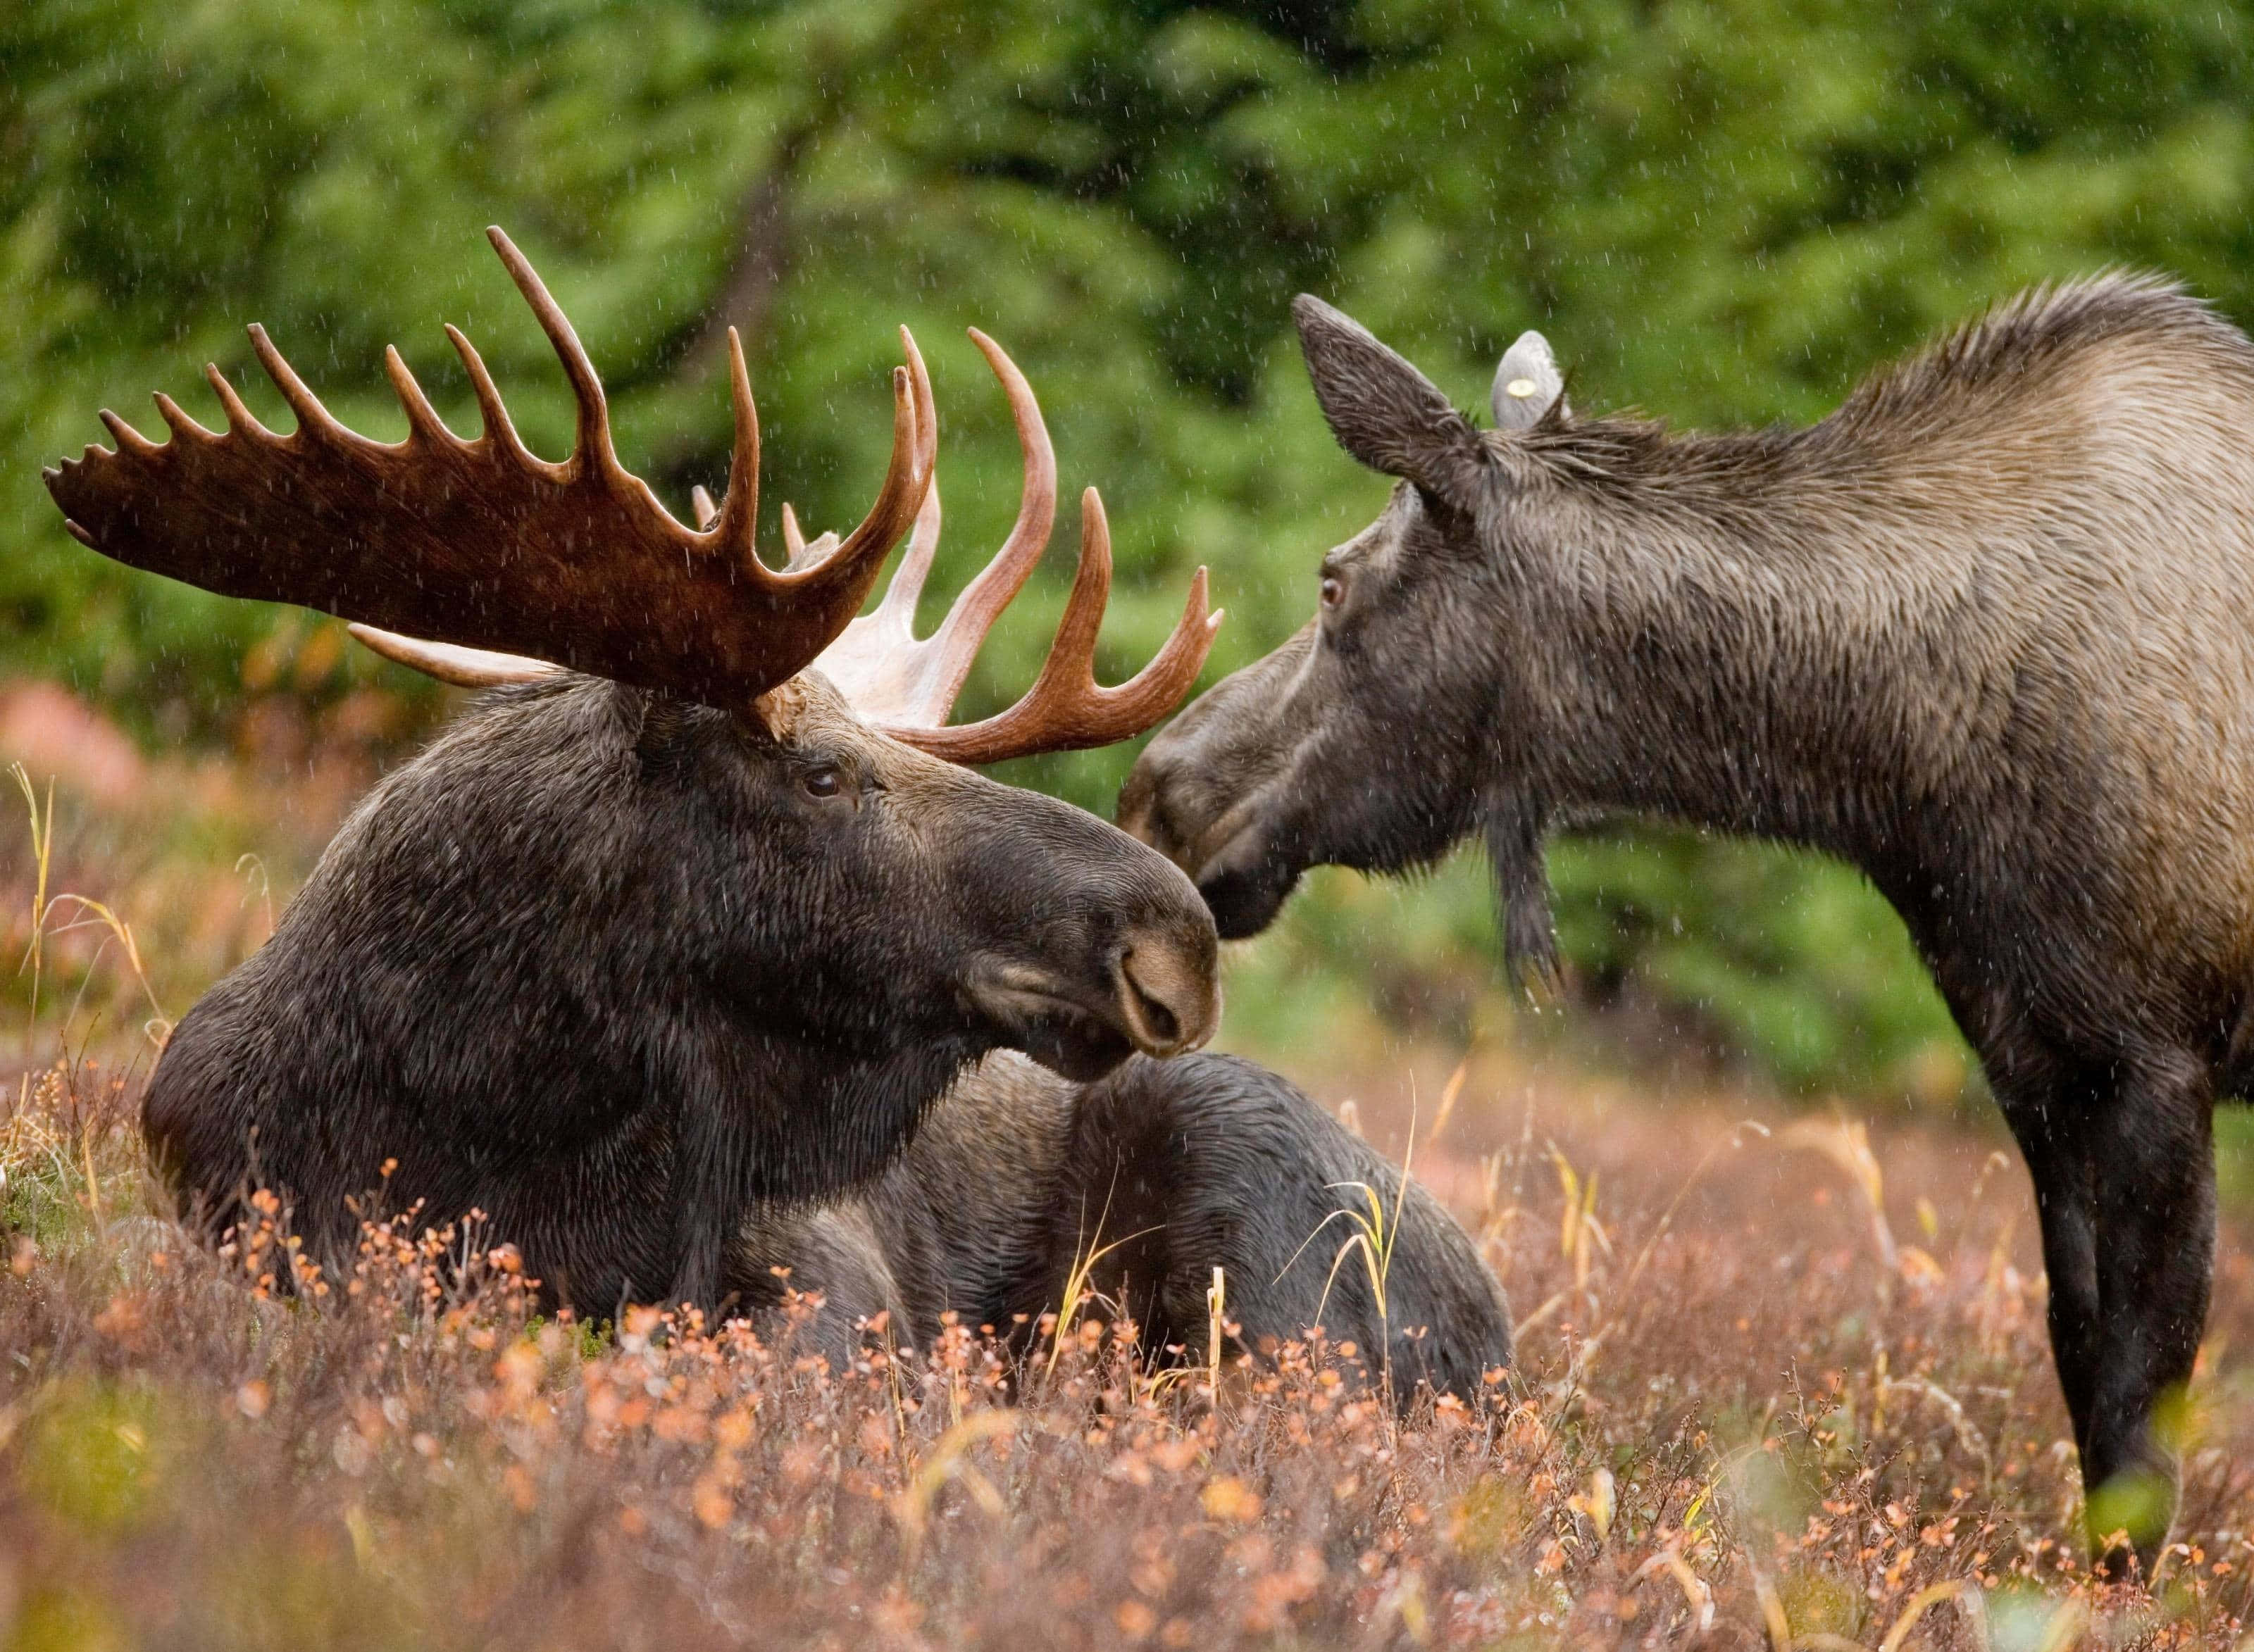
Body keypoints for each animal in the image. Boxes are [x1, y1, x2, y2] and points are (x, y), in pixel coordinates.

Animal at [1117, 276, 2254, 1563]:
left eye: (1331, 580)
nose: (1159, 791)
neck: (1904, 771)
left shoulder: (2162, 1058)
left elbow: (2142, 1413)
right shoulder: (2037, 1061)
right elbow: (2082, 1366)